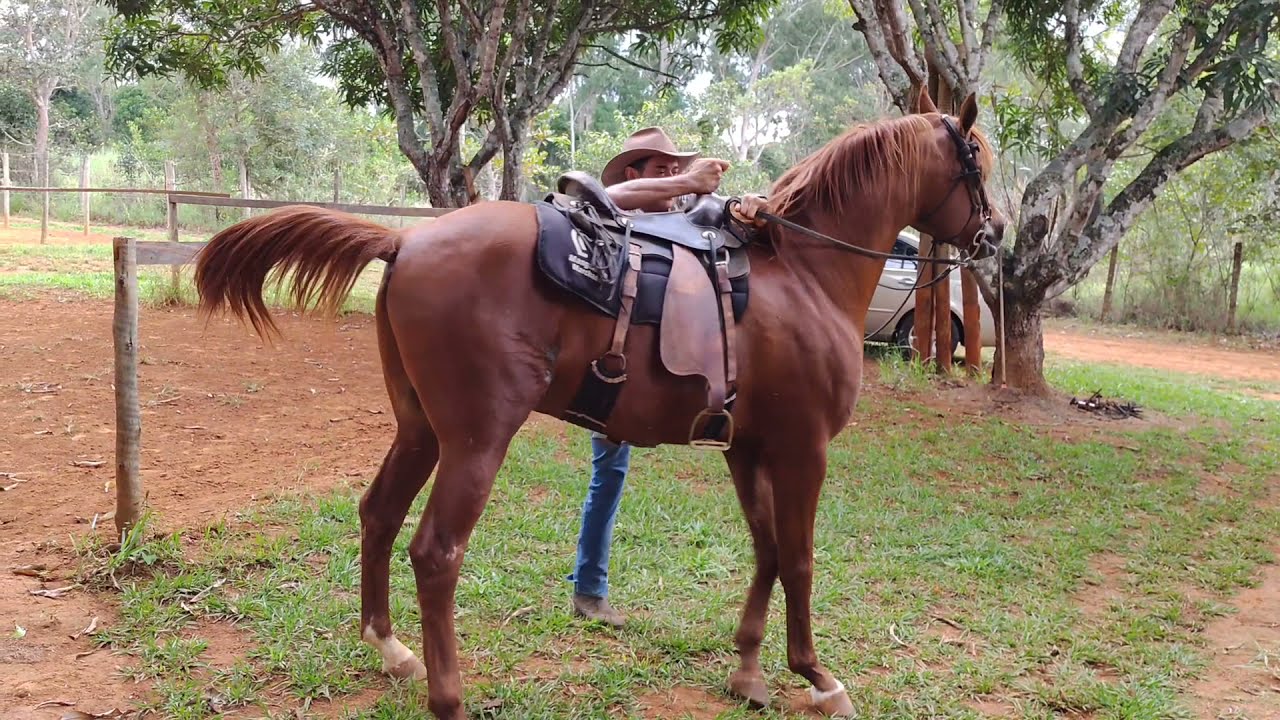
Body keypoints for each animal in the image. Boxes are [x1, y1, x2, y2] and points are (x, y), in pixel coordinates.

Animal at [191, 87, 1004, 719]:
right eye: (977, 158)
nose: (994, 234)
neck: (805, 269)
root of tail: (406, 243)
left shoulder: (747, 448)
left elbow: (768, 550)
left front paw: (747, 669)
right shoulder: (804, 449)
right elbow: (800, 560)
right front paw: (817, 677)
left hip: (419, 428)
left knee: (379, 515)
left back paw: (390, 648)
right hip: (478, 439)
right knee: (436, 552)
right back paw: (448, 695)